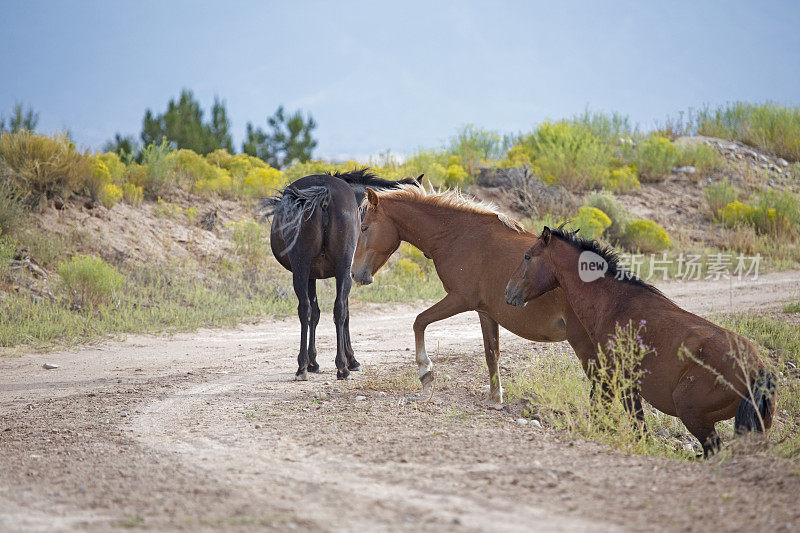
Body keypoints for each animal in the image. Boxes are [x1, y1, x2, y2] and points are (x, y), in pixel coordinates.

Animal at [266, 168, 422, 380]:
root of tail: (324, 194)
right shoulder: (343, 272)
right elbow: (341, 312)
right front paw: (350, 359)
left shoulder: (314, 274)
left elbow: (316, 313)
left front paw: (314, 362)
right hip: (333, 270)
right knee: (337, 310)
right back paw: (341, 367)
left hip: (302, 269)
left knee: (308, 309)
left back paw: (305, 366)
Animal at [350, 185, 592, 402]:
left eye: (364, 228)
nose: (354, 273)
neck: (458, 236)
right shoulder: (485, 312)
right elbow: (491, 353)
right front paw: (495, 398)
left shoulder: (460, 299)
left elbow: (419, 321)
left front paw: (425, 371)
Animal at [506, 227, 776, 456]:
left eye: (528, 256)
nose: (509, 292)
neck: (615, 303)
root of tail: (758, 369)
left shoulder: (615, 380)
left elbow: (628, 422)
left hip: (694, 415)